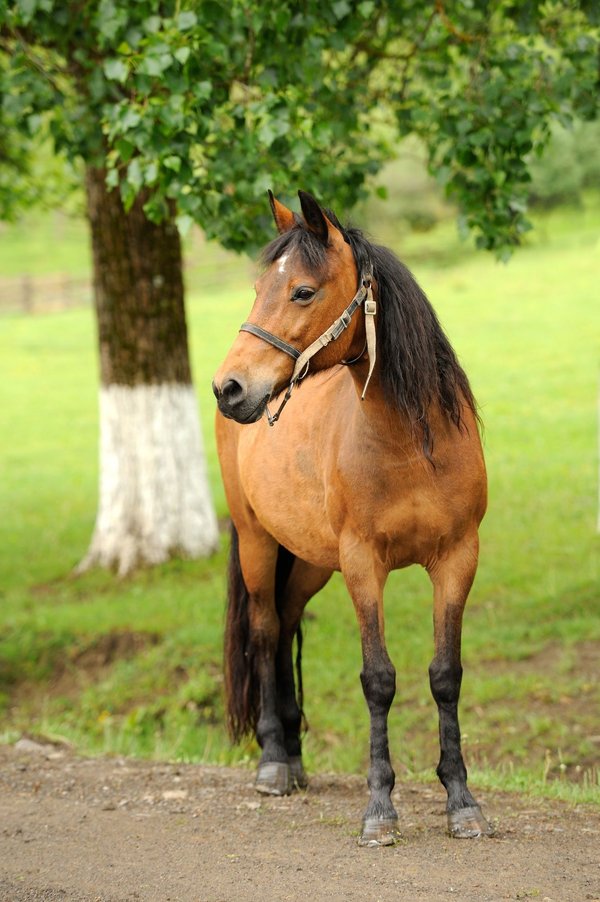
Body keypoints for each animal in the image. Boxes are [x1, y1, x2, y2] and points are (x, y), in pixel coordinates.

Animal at [212, 190, 494, 846]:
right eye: (259, 286)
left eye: (302, 291)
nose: (229, 387)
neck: (413, 443)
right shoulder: (364, 563)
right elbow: (378, 679)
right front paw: (380, 809)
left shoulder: (457, 559)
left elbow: (446, 674)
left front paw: (461, 802)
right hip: (259, 542)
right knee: (265, 628)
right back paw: (272, 762)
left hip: (311, 561)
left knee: (287, 622)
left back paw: (293, 756)